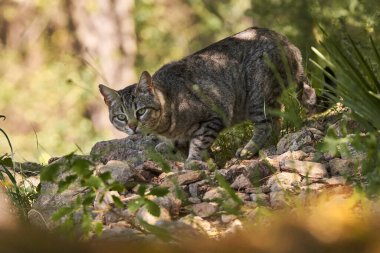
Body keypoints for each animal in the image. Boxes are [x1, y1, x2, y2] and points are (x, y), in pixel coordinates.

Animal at [99, 27, 316, 165]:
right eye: (121, 117)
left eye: (141, 111)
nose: (132, 126)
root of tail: (282, 38)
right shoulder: (179, 139)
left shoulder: (214, 116)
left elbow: (199, 142)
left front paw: (193, 161)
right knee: (282, 114)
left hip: (257, 94)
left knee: (265, 124)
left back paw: (249, 148)